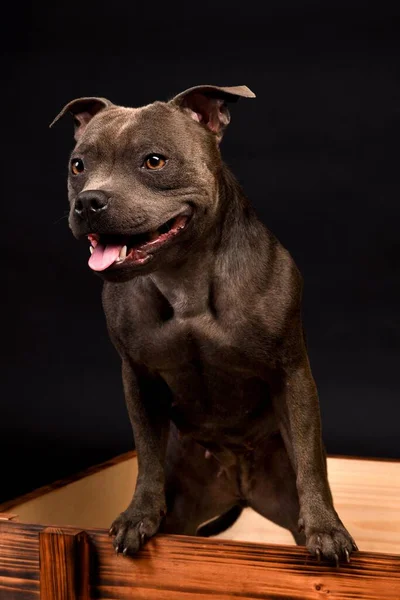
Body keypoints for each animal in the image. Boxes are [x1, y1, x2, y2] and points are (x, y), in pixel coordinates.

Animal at [52, 83, 356, 564]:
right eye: (78, 165)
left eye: (154, 161)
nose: (88, 202)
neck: (185, 282)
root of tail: (240, 489)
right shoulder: (138, 378)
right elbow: (147, 455)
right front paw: (138, 515)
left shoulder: (291, 372)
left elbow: (311, 458)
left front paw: (328, 529)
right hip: (185, 508)